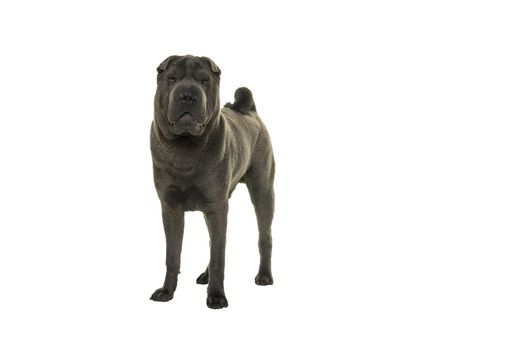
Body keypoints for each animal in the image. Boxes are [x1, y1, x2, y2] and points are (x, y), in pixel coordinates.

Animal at [149, 54, 274, 308]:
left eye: (204, 80)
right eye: (172, 78)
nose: (188, 95)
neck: (186, 147)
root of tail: (248, 109)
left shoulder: (217, 207)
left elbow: (219, 255)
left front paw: (216, 296)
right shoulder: (171, 209)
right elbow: (172, 255)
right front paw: (167, 292)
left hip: (263, 190)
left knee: (264, 236)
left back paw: (264, 276)